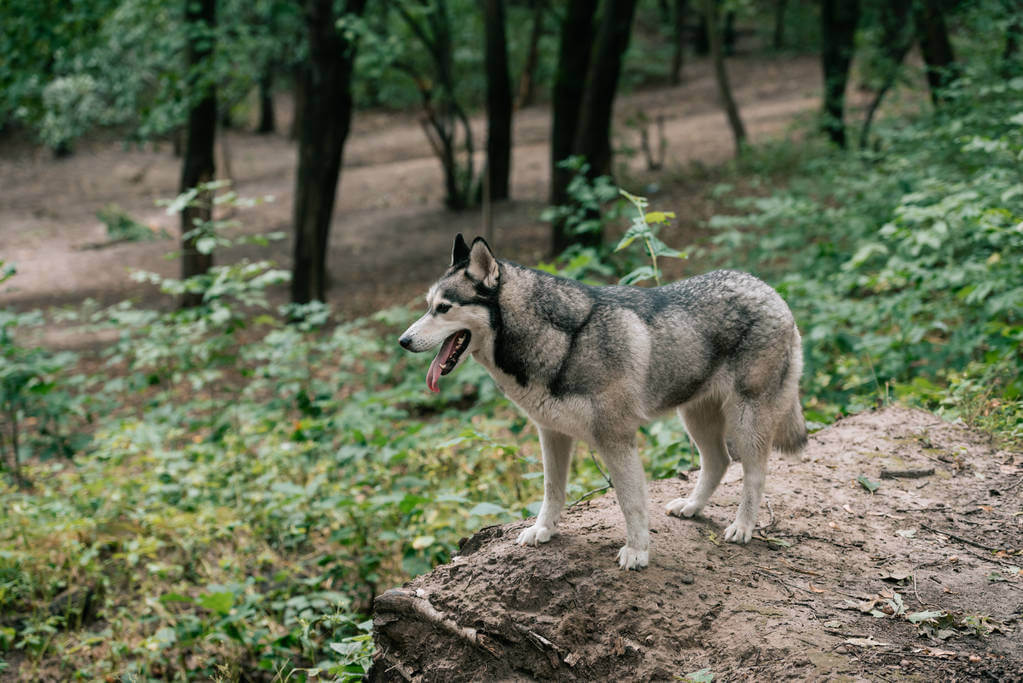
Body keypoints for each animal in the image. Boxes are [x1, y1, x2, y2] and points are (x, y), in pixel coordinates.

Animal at [398, 235, 806, 572]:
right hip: (695, 418)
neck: (564, 341)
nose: (403, 341)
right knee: (718, 462)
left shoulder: (616, 439)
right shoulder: (552, 434)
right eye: (428, 306)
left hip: (745, 421)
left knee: (755, 473)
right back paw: (691, 508)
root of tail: (771, 290)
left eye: (444, 308)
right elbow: (552, 491)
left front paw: (638, 552)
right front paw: (543, 530)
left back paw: (742, 527)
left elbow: (631, 502)